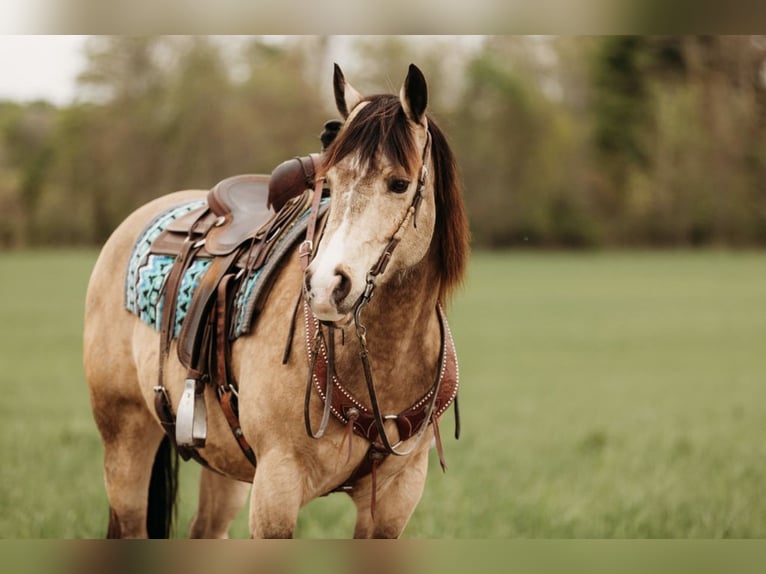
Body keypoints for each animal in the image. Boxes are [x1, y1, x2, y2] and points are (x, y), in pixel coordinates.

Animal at [83, 63, 470, 538]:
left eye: (399, 183)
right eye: (330, 182)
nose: (325, 286)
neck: (385, 359)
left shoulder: (395, 499)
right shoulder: (277, 486)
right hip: (126, 440)